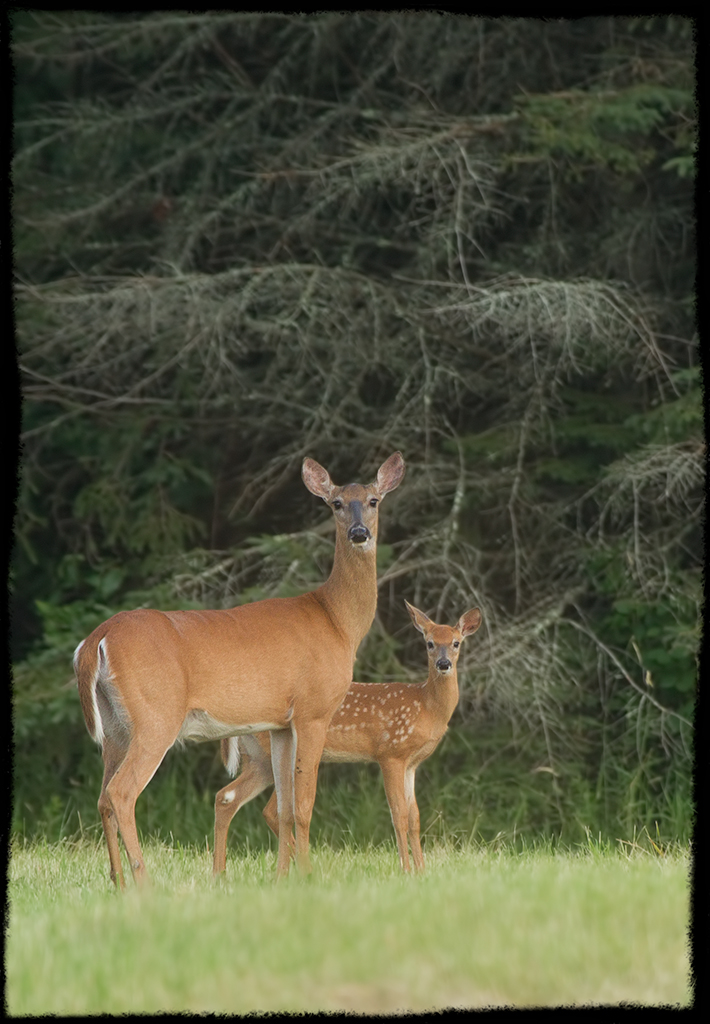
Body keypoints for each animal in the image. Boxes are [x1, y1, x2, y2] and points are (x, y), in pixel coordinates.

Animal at [74, 452, 403, 884]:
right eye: (335, 503)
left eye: (373, 500)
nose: (359, 533)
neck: (338, 622)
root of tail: (99, 638)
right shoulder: (313, 711)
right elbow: (303, 805)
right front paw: (308, 877)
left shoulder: (280, 725)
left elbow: (283, 807)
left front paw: (282, 879)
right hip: (155, 715)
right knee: (121, 792)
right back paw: (144, 883)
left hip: (115, 726)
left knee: (102, 797)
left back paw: (119, 883)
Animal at [213, 598, 481, 872]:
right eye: (429, 643)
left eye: (456, 642)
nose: (444, 664)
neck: (426, 707)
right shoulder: (391, 753)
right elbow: (399, 815)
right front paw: (406, 870)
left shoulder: (411, 764)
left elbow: (415, 817)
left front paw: (421, 871)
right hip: (277, 754)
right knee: (269, 808)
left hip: (259, 760)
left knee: (228, 797)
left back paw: (224, 871)